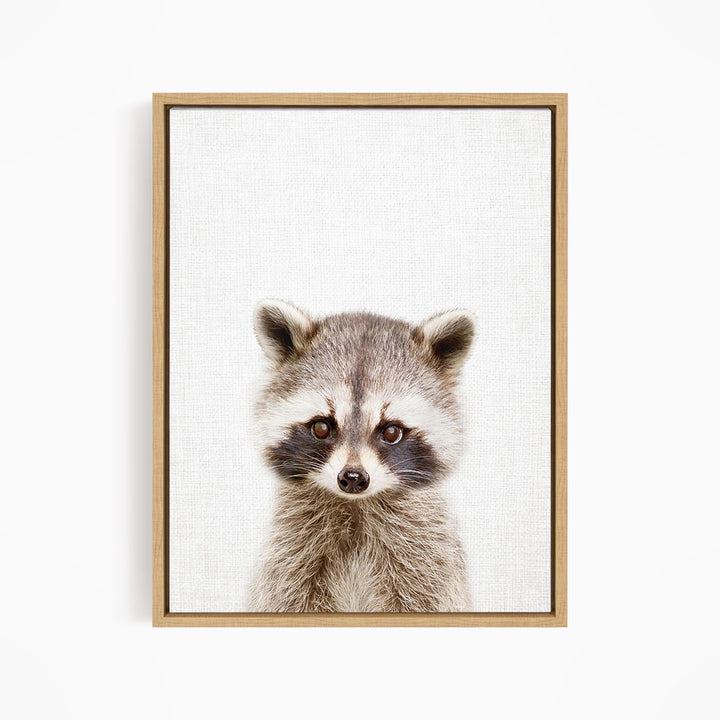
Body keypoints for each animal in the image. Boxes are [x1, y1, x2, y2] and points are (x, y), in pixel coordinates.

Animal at [249, 299, 475, 613]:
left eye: (391, 432)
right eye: (321, 427)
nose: (353, 478)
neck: (355, 506)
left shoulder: (428, 558)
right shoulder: (289, 556)